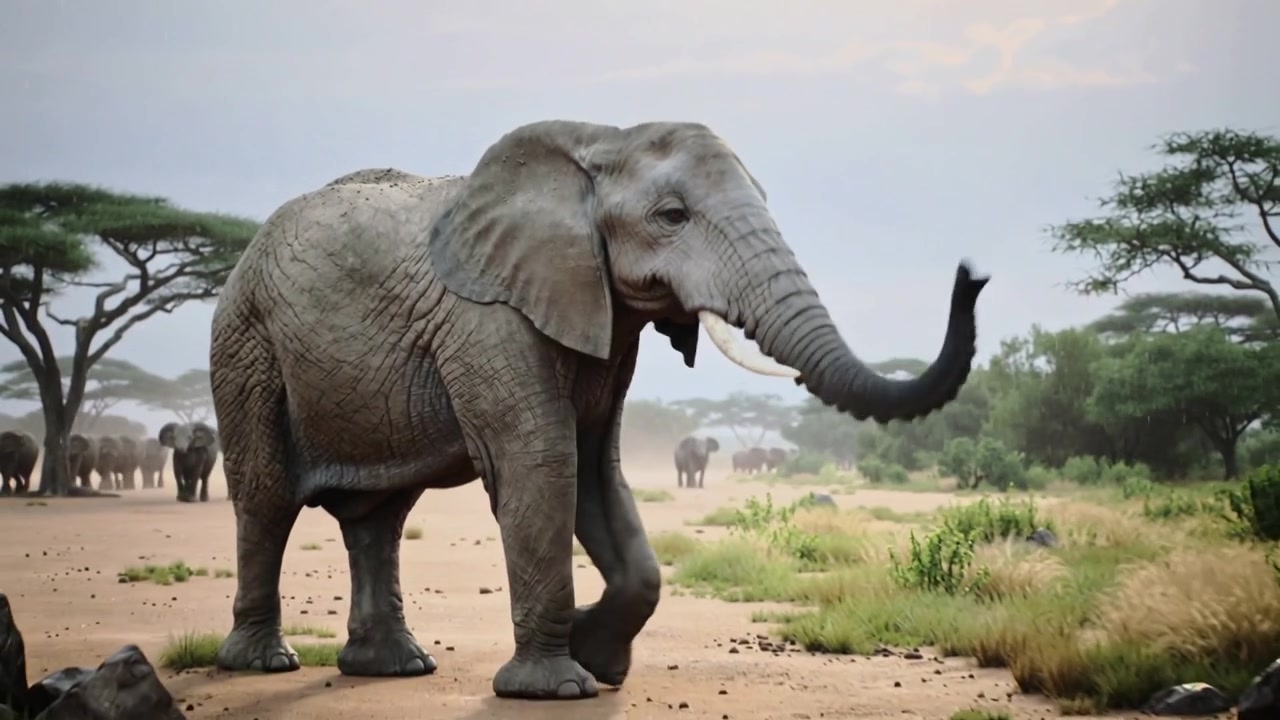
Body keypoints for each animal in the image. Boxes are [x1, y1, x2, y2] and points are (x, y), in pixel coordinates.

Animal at [205, 119, 987, 701]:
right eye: (672, 217)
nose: (972, 276)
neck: (598, 143)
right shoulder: (487, 318)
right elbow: (542, 459)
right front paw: (555, 688)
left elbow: (596, 470)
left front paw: (599, 659)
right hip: (246, 342)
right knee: (267, 497)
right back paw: (262, 664)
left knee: (380, 516)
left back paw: (394, 669)